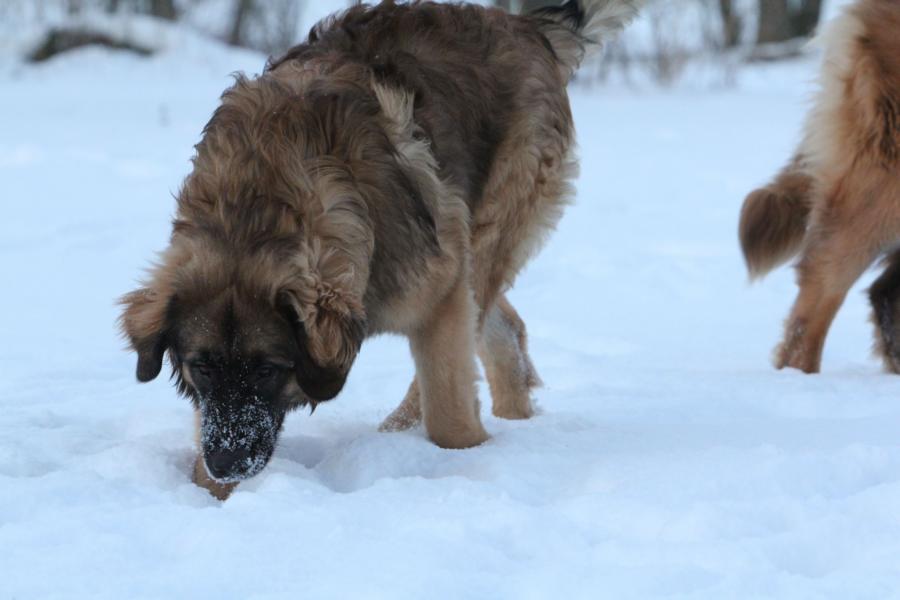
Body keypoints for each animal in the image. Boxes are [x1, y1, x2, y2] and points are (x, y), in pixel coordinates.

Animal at [119, 0, 644, 496]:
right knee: (506, 326)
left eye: (268, 370)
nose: (226, 463)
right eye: (202, 368)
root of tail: (528, 28)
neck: (257, 207)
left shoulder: (439, 291)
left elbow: (448, 408)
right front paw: (210, 492)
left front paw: (463, 461)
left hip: (484, 231)